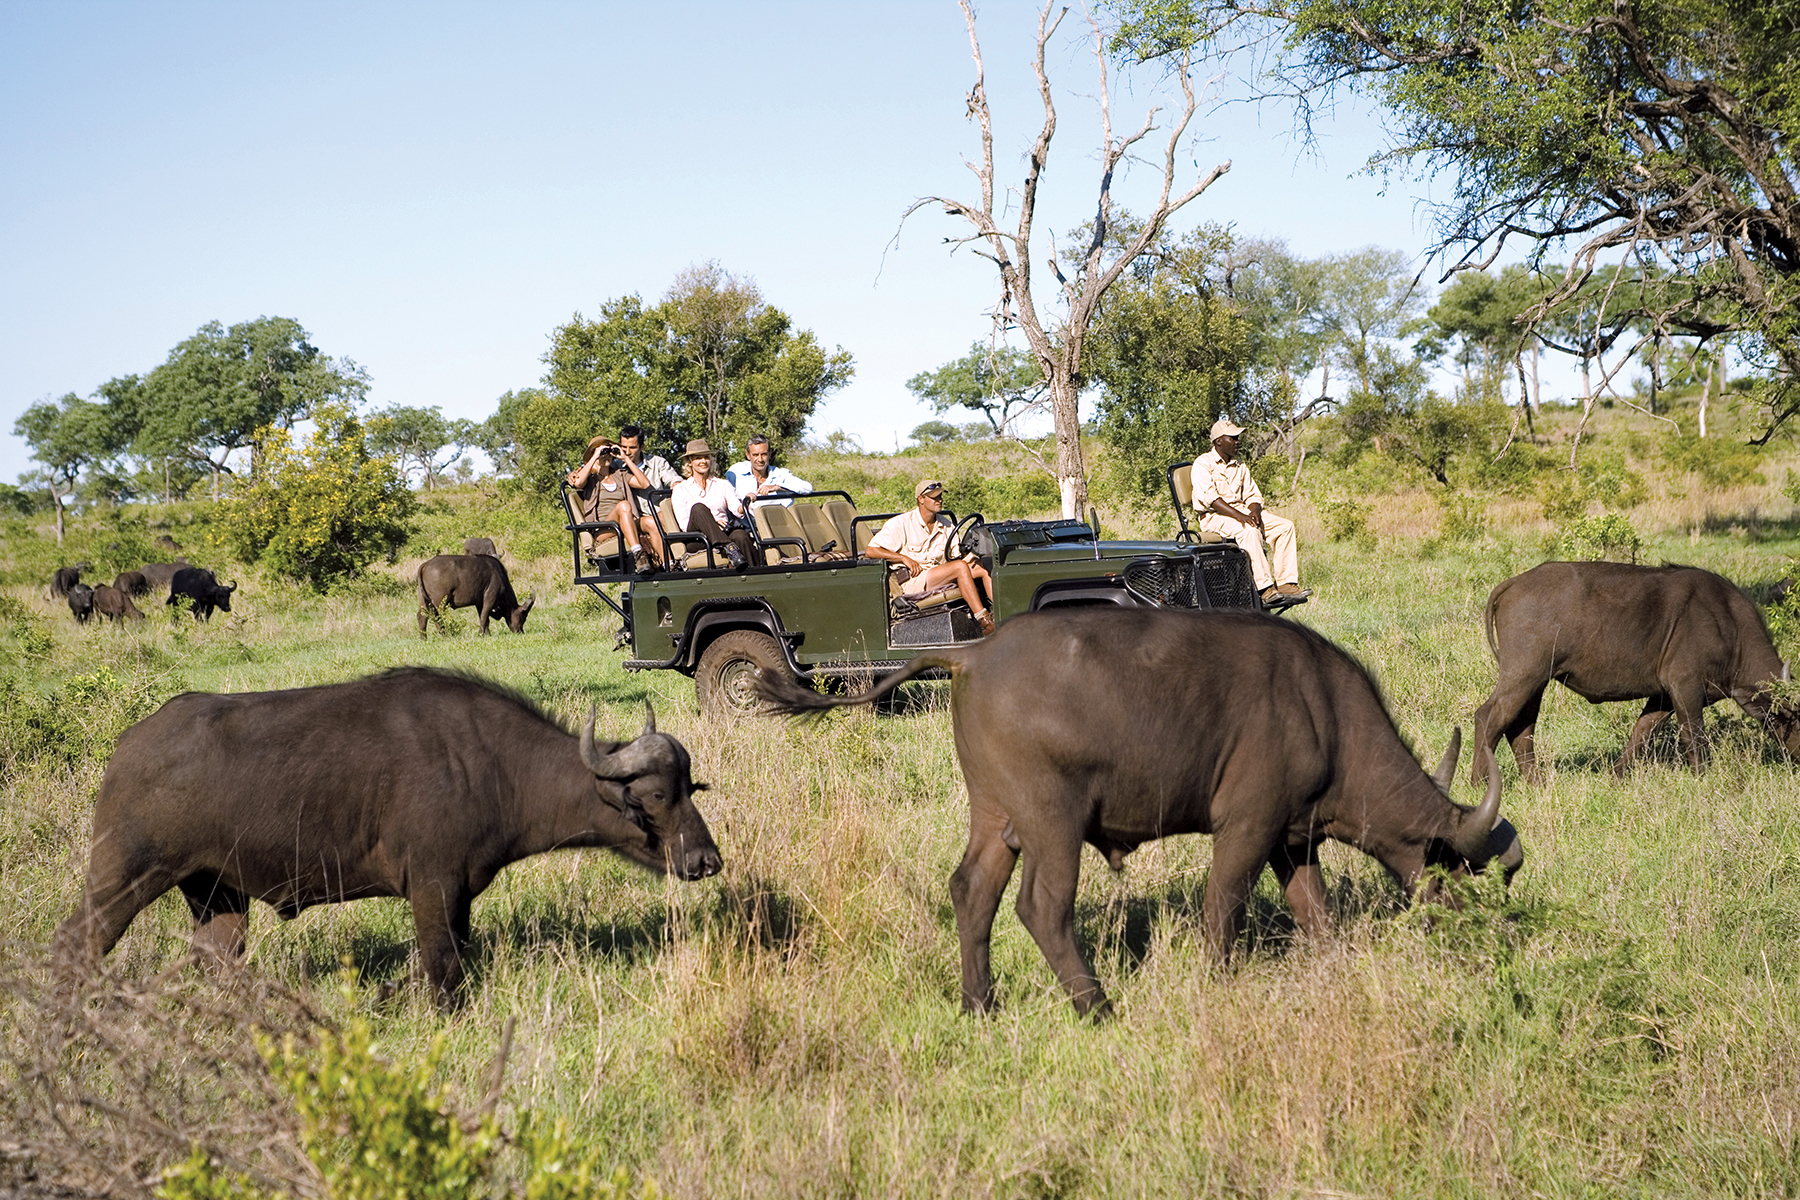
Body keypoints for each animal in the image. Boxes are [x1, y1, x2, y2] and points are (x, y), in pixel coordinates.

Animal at [59, 672, 727, 1007]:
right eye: (656, 796)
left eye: (692, 786)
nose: (706, 860)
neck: (490, 765)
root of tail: (127, 747)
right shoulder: (431, 886)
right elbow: (443, 969)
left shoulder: (457, 894)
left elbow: (447, 959)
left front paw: (385, 992)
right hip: (124, 878)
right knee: (78, 942)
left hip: (217, 895)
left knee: (216, 957)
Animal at [756, 611, 1519, 1014]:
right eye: (1460, 873)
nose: (1485, 940)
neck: (1323, 712)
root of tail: (970, 653)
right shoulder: (1246, 830)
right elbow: (1222, 909)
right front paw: (1219, 982)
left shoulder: (1290, 839)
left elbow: (1318, 913)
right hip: (1051, 821)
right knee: (1041, 907)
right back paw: (1095, 1006)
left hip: (995, 818)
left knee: (971, 891)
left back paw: (980, 1003)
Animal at [1468, 564, 1792, 788]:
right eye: (1795, 717)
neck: (1729, 626)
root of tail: (1514, 583)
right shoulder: (1686, 687)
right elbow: (1694, 735)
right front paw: (1702, 776)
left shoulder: (1663, 696)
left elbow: (1642, 733)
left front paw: (1617, 775)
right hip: (1523, 675)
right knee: (1488, 717)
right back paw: (1479, 782)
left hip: (1536, 682)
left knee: (1520, 727)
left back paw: (1536, 782)